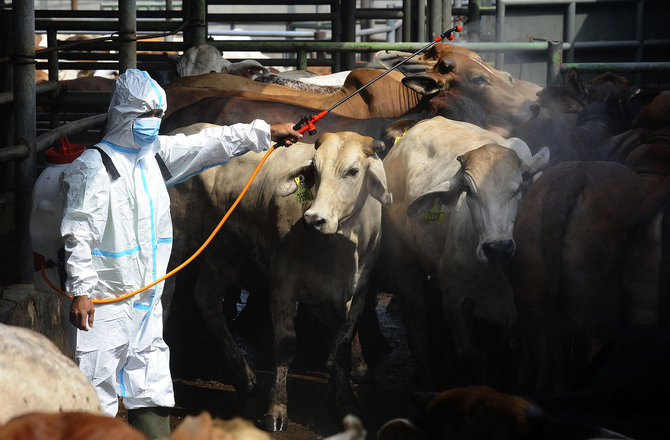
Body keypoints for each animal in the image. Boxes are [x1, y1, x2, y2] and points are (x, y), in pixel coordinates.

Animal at [165, 131, 392, 434]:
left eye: (353, 171)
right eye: (315, 170)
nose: (314, 219)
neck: (342, 250)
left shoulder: (359, 292)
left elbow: (341, 346)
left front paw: (346, 402)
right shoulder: (283, 283)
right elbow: (285, 345)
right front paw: (277, 409)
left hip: (222, 256)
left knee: (206, 299)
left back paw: (245, 376)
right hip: (175, 248)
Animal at [378, 117, 552, 388]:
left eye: (519, 186)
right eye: (469, 191)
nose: (497, 248)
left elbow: (506, 360)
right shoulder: (456, 304)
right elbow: (470, 358)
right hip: (403, 263)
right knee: (418, 325)